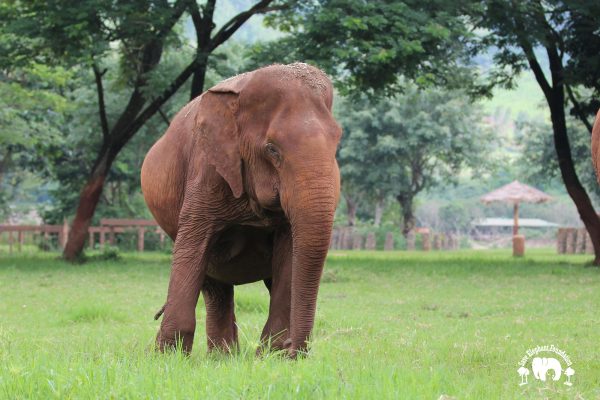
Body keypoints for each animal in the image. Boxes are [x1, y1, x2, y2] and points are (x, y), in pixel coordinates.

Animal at [138, 63, 340, 360]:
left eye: (337, 141)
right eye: (272, 149)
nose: (295, 352)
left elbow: (289, 254)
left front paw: (270, 357)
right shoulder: (207, 169)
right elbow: (193, 245)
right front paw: (165, 359)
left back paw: (226, 356)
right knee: (213, 282)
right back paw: (222, 357)